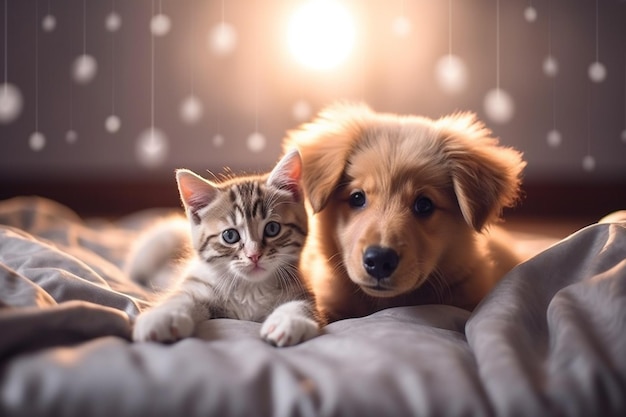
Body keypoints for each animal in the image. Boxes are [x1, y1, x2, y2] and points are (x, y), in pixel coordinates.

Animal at [129, 149, 320, 344]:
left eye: (272, 229)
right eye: (230, 236)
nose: (254, 255)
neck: (249, 289)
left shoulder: (300, 286)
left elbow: (304, 305)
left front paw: (289, 321)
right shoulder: (197, 284)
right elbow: (180, 297)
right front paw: (162, 317)